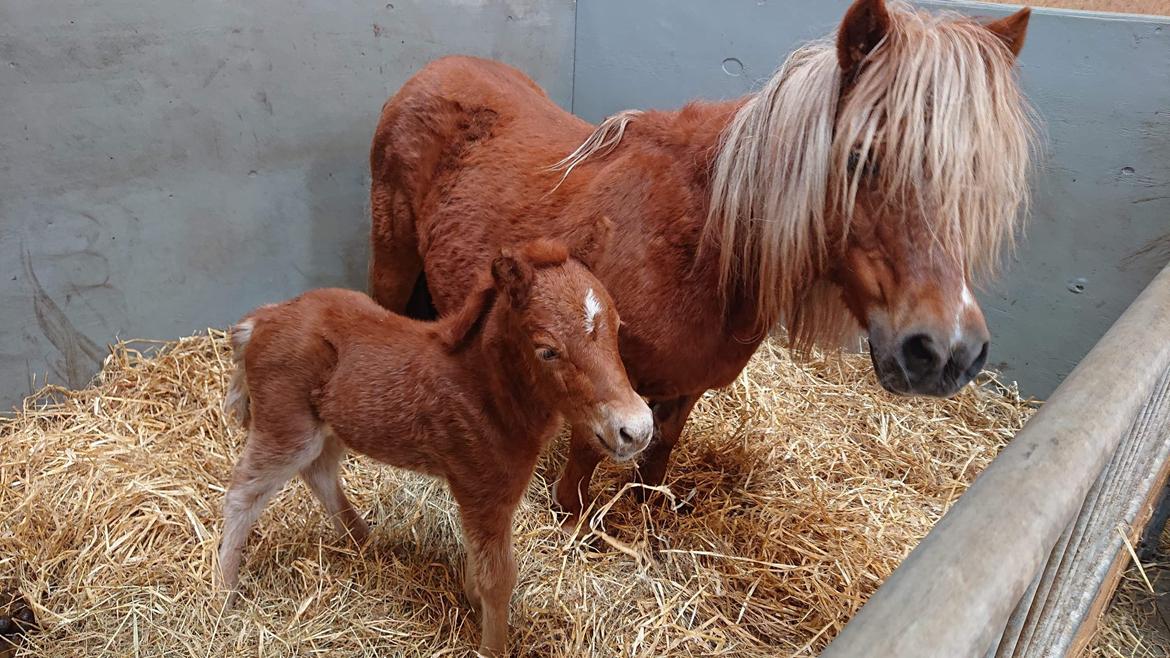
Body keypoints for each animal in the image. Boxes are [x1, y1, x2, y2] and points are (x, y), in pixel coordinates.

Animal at [216, 240, 655, 650]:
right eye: (547, 350)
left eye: (618, 327)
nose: (636, 429)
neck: (485, 390)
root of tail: (260, 319)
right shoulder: (482, 490)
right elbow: (498, 577)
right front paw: (493, 645)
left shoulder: (493, 494)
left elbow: (479, 560)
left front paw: (471, 598)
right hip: (286, 427)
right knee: (243, 494)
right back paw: (226, 591)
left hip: (326, 427)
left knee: (319, 470)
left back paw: (363, 539)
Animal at [365, 1, 1034, 522]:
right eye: (859, 157)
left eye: (976, 176)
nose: (946, 352)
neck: (702, 248)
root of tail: (432, 71)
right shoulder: (600, 379)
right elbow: (585, 464)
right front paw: (574, 525)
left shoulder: (684, 389)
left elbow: (658, 456)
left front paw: (648, 521)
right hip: (392, 259)